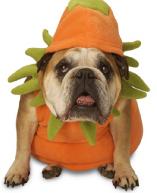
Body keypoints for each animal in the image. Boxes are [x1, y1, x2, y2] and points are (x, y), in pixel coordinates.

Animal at [3, 47, 139, 190]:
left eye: (104, 68)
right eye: (63, 67)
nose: (85, 73)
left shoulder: (121, 119)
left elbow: (121, 148)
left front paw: (124, 173)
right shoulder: (27, 116)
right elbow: (23, 146)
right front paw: (17, 171)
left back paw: (107, 166)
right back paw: (52, 167)